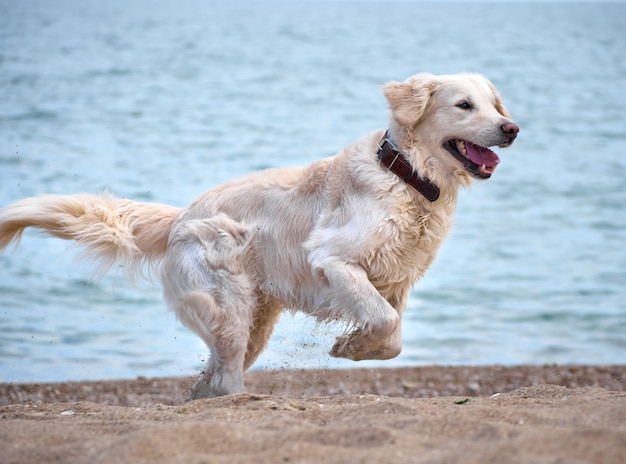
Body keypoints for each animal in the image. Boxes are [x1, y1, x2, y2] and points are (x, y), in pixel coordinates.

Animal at [0, 73, 516, 398]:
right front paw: (347, 347)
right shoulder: (334, 260)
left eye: (493, 104)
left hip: (254, 324)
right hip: (228, 309)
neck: (408, 175)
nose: (511, 128)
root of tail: (183, 216)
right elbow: (386, 323)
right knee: (226, 378)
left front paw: (351, 346)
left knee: (213, 377)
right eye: (464, 105)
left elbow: (392, 336)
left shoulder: (398, 280)